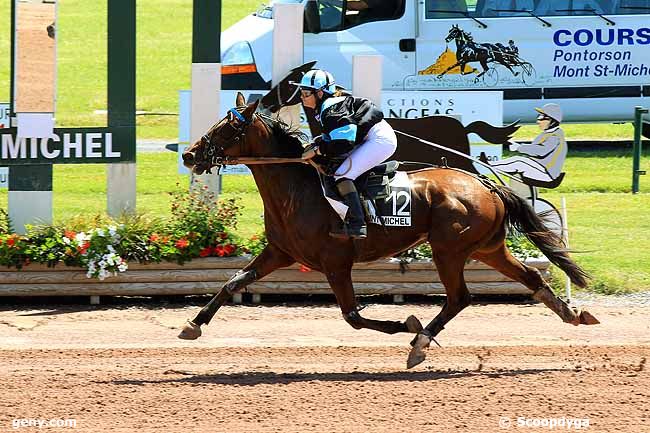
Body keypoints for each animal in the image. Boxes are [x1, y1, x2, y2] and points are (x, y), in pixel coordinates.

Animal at [177, 93, 596, 366]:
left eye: (227, 129)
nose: (190, 154)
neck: (298, 188)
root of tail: (486, 185)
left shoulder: (335, 263)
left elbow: (353, 316)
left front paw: (404, 322)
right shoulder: (280, 252)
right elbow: (233, 281)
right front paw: (192, 325)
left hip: (449, 250)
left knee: (459, 297)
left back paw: (420, 341)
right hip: (487, 248)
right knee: (529, 277)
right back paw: (572, 314)